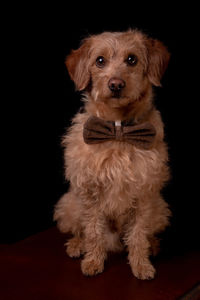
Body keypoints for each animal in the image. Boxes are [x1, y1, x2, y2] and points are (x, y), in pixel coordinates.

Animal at [54, 29, 171, 280]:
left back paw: (154, 245)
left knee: (146, 233)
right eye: (100, 60)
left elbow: (138, 235)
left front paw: (141, 265)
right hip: (70, 204)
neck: (118, 131)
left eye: (132, 59)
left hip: (160, 209)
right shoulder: (89, 193)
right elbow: (93, 231)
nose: (116, 84)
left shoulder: (144, 194)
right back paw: (77, 245)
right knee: (80, 230)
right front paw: (93, 262)